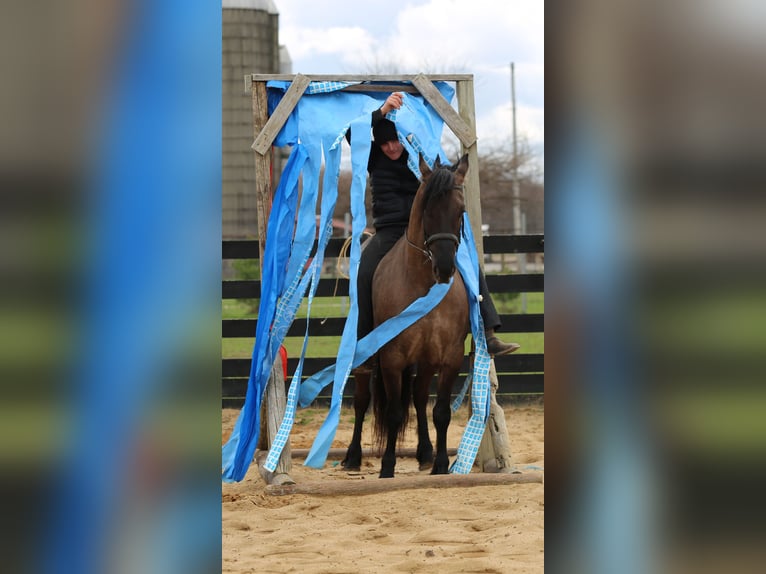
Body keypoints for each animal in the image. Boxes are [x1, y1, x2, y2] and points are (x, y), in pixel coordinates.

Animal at [342, 153, 471, 478]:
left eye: (460, 211)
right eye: (427, 208)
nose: (444, 267)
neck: (421, 283)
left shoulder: (449, 356)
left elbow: (440, 412)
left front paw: (441, 464)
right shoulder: (393, 357)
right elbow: (393, 412)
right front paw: (387, 467)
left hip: (424, 362)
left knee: (419, 396)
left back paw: (425, 452)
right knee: (362, 400)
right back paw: (352, 456)